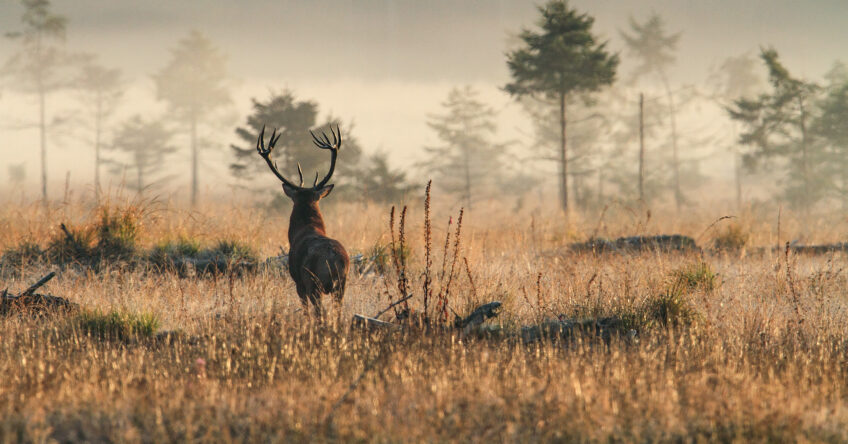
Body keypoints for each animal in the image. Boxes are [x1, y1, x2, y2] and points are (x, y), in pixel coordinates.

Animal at [256, 125, 349, 317]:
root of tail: (334, 259)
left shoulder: (298, 281)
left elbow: (305, 310)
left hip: (313, 281)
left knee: (320, 312)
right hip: (342, 285)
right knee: (337, 312)